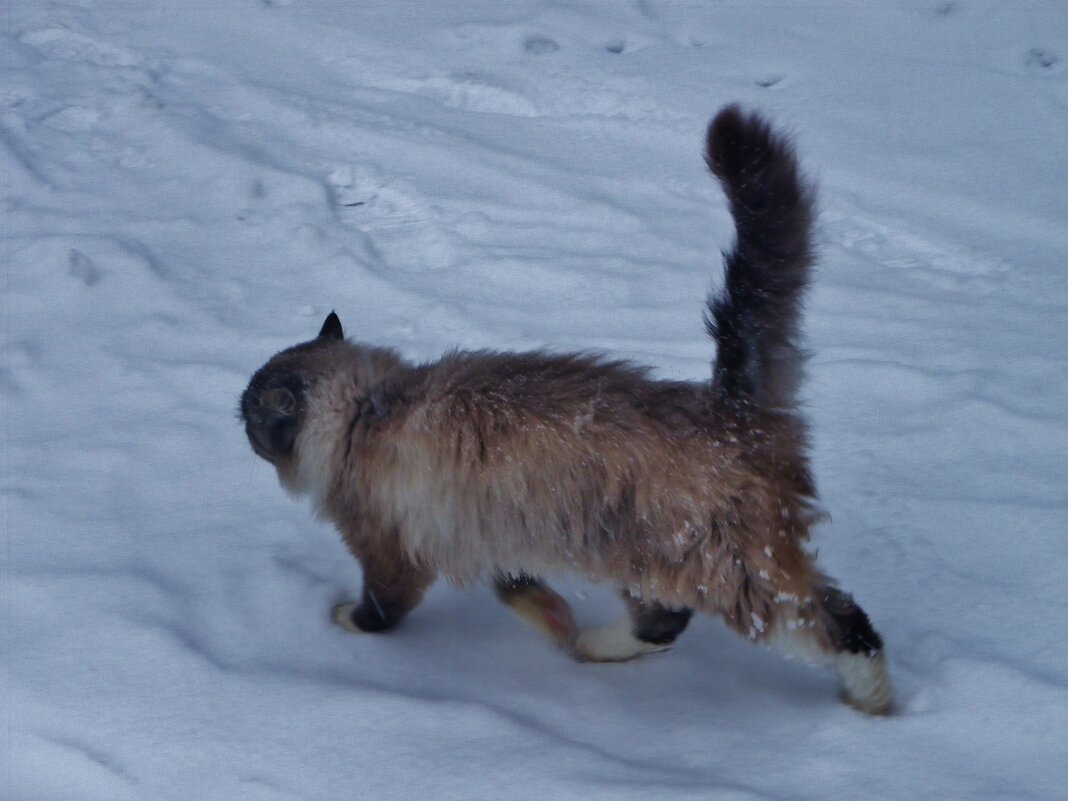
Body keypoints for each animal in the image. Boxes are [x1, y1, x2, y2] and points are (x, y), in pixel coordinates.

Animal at [240, 105, 892, 713]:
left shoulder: (389, 544)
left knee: (836, 622)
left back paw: (871, 701)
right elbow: (518, 590)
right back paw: (591, 645)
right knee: (680, 621)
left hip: (726, 573)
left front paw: (344, 622)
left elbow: (380, 609)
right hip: (664, 561)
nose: (238, 422)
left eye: (250, 417)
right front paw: (553, 619)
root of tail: (727, 405)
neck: (368, 409)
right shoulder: (486, 531)